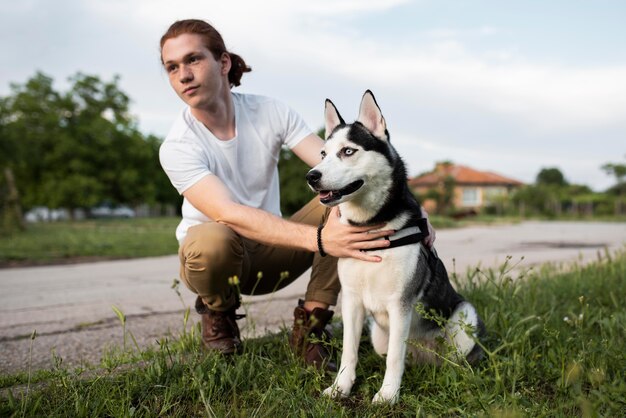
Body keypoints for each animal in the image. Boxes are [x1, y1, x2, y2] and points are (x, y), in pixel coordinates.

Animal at [306, 91, 482, 404]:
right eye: (323, 154)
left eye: (348, 151)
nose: (311, 176)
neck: (371, 226)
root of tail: (425, 359)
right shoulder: (352, 302)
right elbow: (349, 352)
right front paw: (341, 388)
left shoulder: (400, 304)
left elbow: (394, 359)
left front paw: (388, 395)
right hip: (378, 335)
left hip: (464, 316)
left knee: (453, 359)